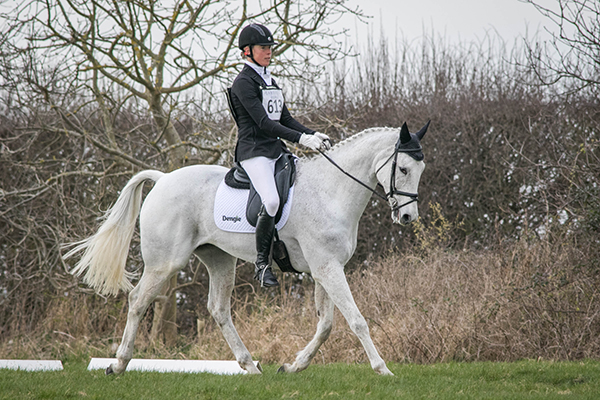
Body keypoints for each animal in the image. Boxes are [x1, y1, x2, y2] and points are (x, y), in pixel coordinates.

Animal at [65, 122, 428, 376]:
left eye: (420, 169)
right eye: (404, 169)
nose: (408, 217)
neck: (331, 191)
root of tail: (164, 178)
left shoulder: (325, 268)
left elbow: (326, 325)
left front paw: (293, 365)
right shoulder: (327, 268)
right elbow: (356, 320)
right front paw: (382, 369)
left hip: (219, 259)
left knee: (218, 309)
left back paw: (251, 366)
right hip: (165, 262)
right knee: (138, 300)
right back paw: (118, 364)